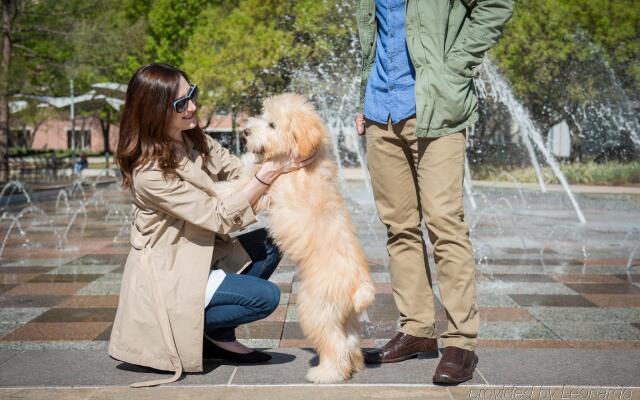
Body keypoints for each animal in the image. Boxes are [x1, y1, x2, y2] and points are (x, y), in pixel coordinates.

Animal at [238, 92, 376, 382]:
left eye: (272, 125)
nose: (245, 131)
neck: (302, 159)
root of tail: (361, 286)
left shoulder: (267, 186)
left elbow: (239, 182)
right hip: (345, 317)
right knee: (350, 342)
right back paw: (353, 366)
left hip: (315, 309)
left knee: (335, 345)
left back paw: (325, 374)